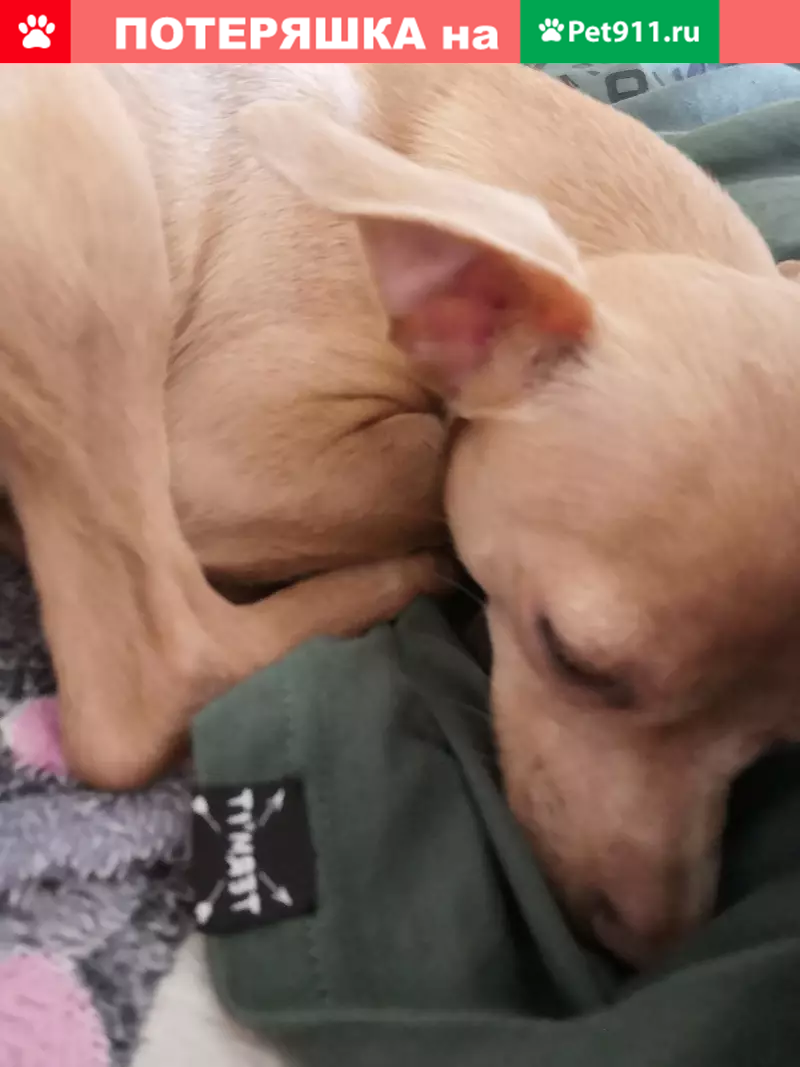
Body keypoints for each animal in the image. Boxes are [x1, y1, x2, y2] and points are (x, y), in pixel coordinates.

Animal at [3, 63, 800, 967]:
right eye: (571, 659)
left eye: (784, 742)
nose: (646, 948)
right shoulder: (223, 457)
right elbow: (432, 458)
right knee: (152, 676)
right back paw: (396, 582)